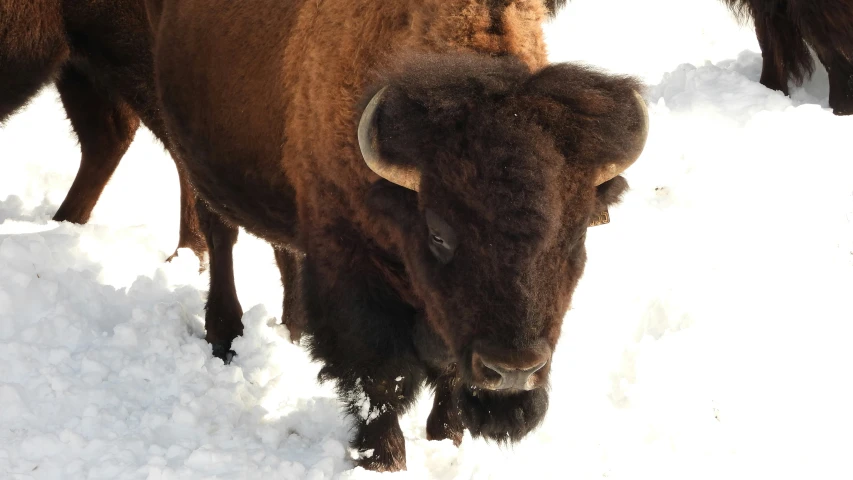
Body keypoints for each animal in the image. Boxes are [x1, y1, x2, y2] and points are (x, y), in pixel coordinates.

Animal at [146, 0, 644, 472]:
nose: (512, 372)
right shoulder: (351, 263)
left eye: (575, 236)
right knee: (220, 235)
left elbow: (448, 367)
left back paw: (292, 330)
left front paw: (448, 438)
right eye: (440, 234)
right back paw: (225, 337)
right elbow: (380, 375)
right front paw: (383, 459)